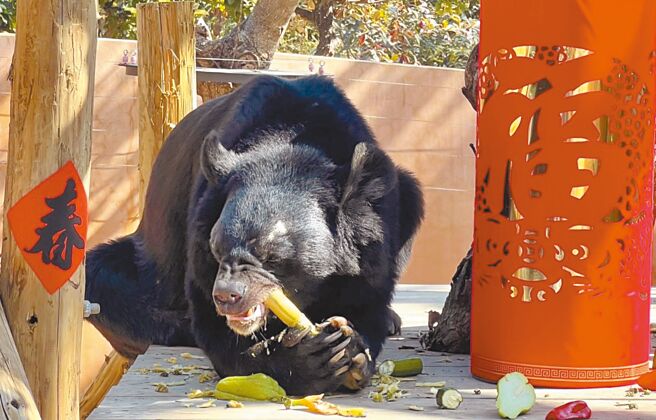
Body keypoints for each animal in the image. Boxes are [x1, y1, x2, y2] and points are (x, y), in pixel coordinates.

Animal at [85, 75, 424, 395]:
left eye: (272, 256)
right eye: (217, 247)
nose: (227, 296)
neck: (291, 143)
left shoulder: (373, 243)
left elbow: (368, 300)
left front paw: (353, 350)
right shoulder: (199, 237)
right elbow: (214, 328)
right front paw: (310, 360)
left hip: (406, 194)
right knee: (102, 280)